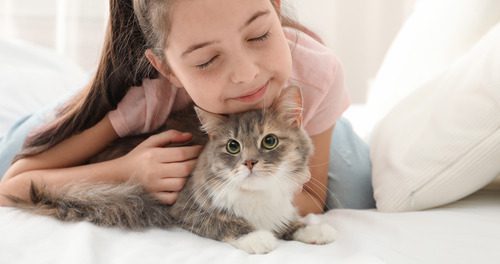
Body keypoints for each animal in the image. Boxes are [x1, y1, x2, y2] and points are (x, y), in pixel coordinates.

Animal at [9, 86, 336, 254]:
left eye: (269, 141)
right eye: (233, 147)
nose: (250, 162)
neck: (257, 197)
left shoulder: (281, 205)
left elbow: (289, 221)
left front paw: (313, 230)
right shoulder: (187, 210)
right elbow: (226, 223)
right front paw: (257, 238)